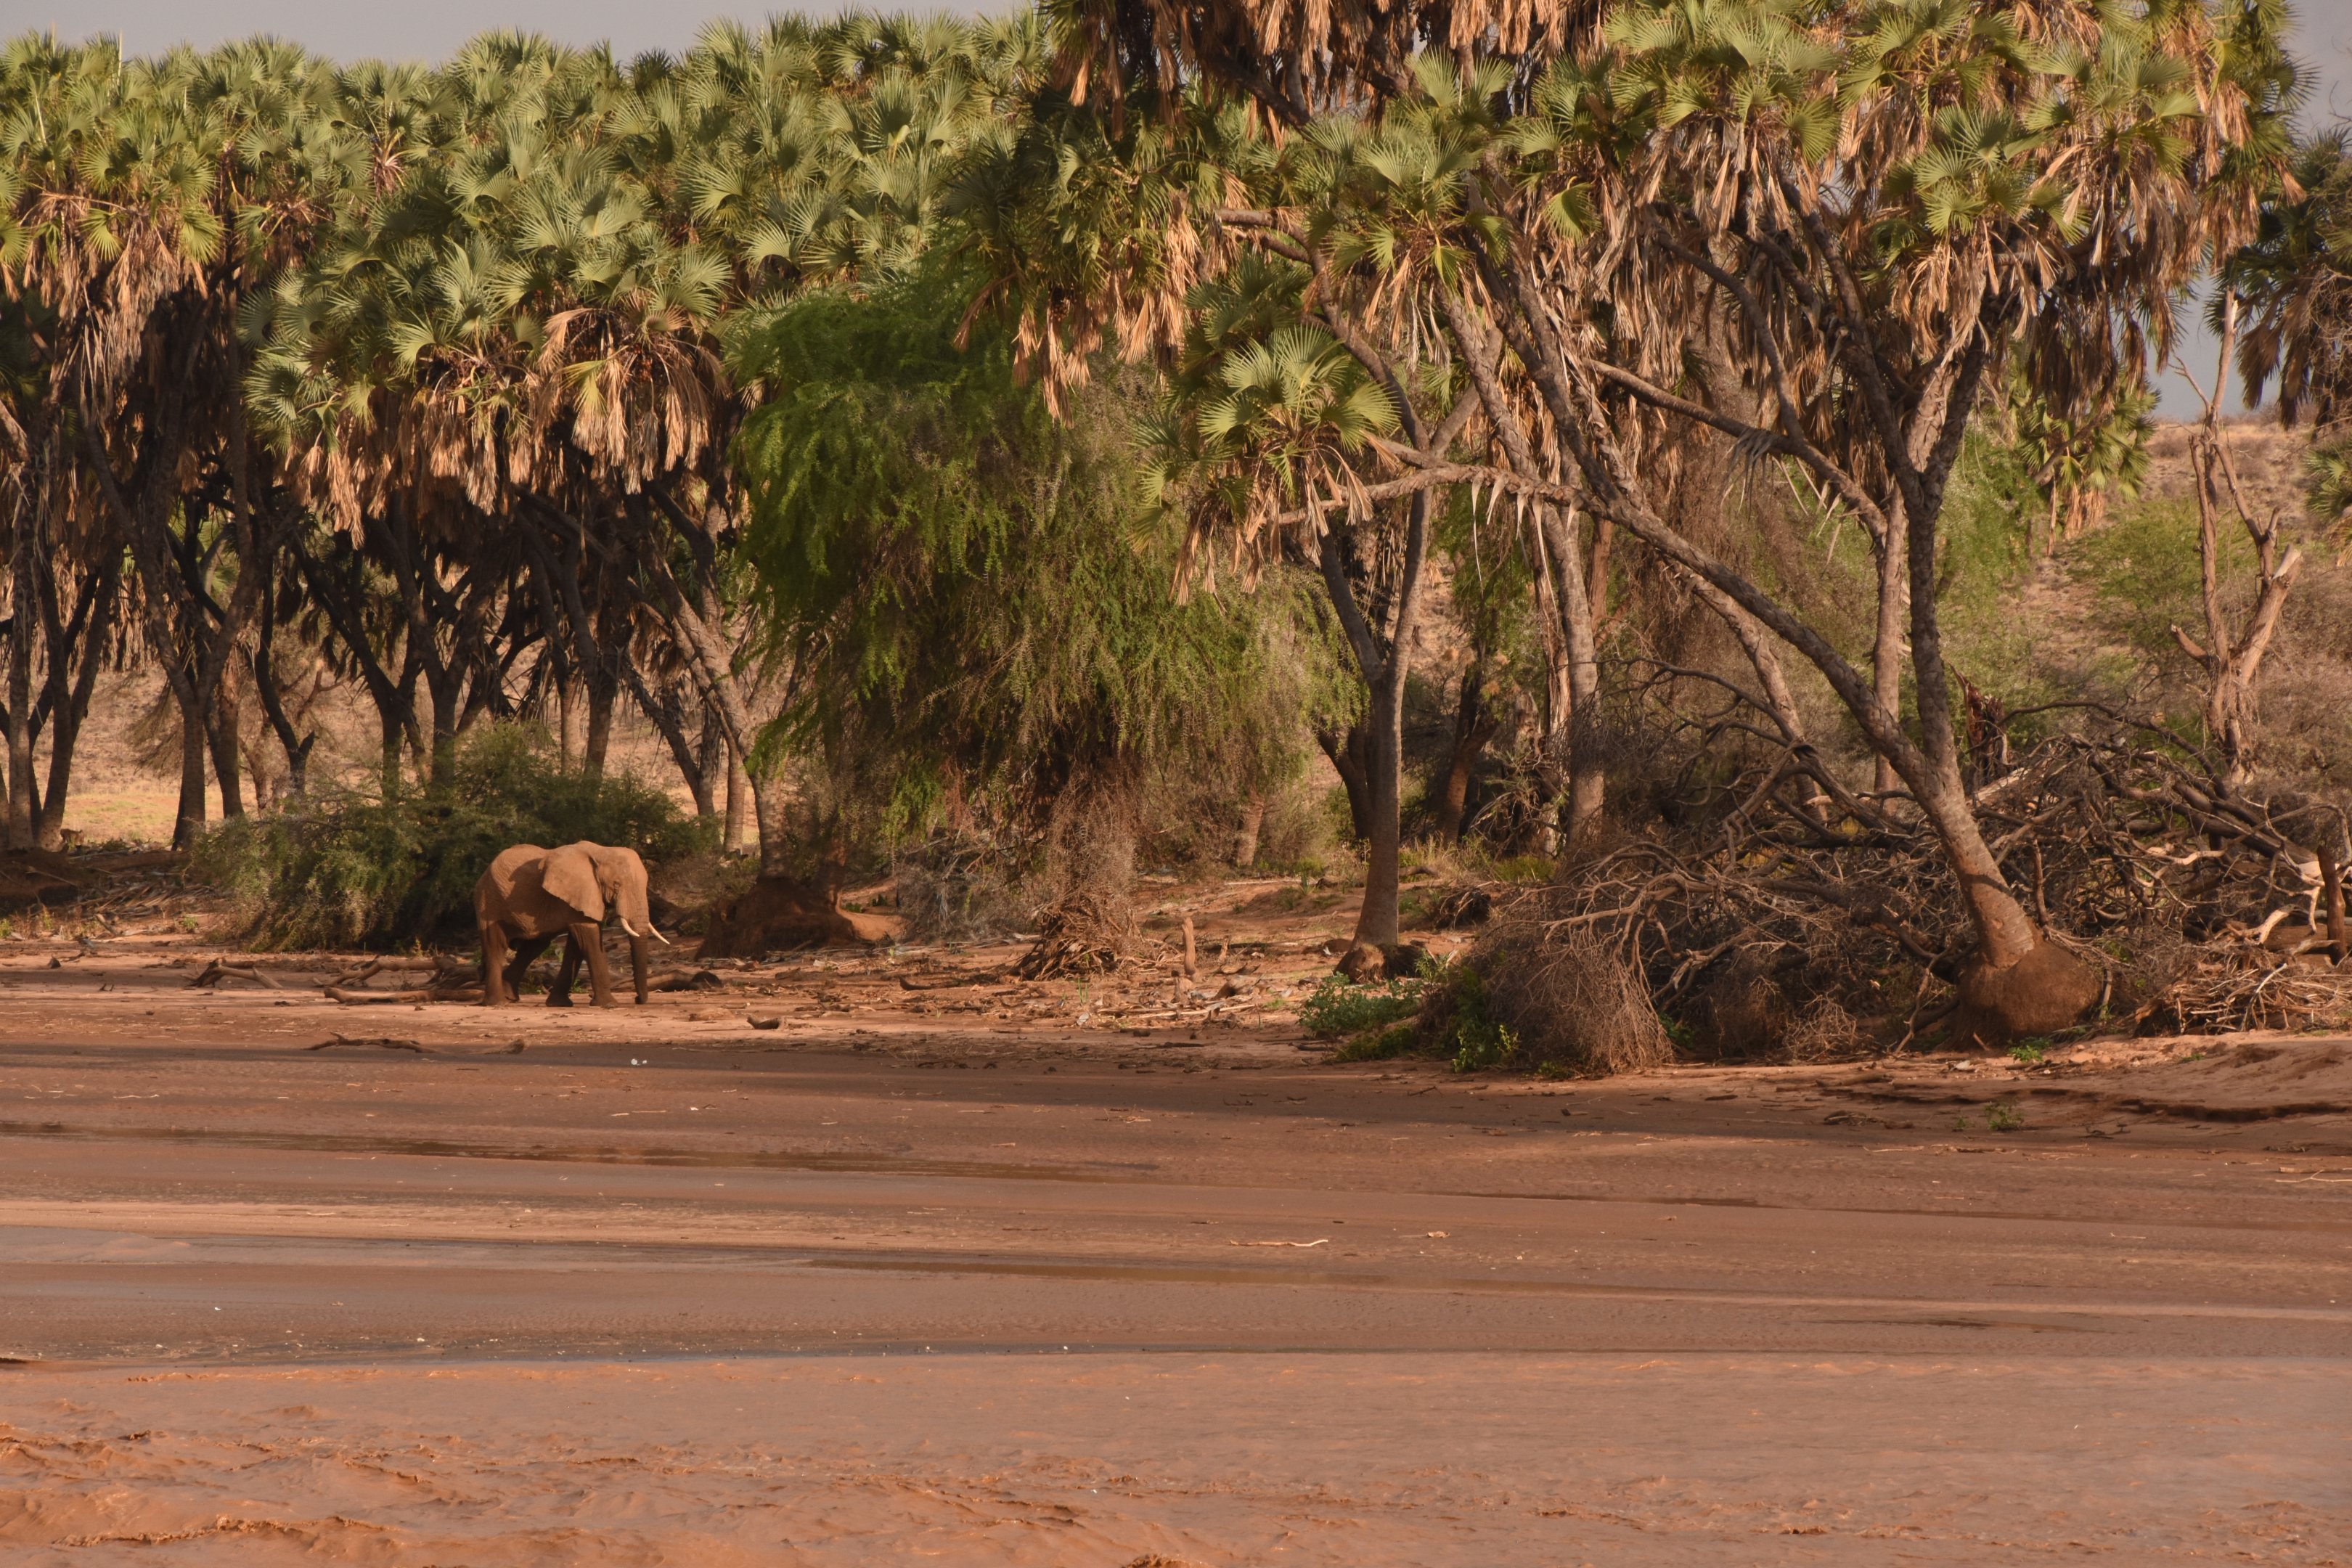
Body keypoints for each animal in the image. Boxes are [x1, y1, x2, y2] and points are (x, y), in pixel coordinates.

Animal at [475, 841, 668, 1007]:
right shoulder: (579, 891)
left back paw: (510, 996)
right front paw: (609, 1005)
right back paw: (498, 1002)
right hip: (489, 900)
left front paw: (559, 1004)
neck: (602, 852)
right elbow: (588, 938)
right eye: (616, 885)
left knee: (535, 946)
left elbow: (577, 944)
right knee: (496, 944)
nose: (637, 999)